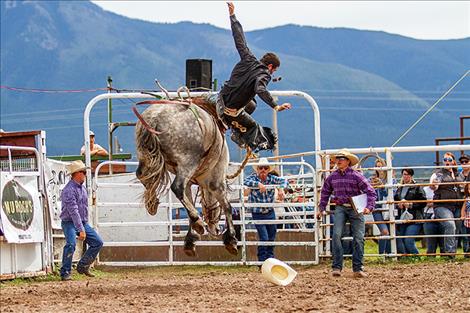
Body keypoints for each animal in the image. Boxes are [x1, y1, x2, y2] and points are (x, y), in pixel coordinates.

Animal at [133, 91, 241, 255]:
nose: (216, 229)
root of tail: (155, 118)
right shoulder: (216, 180)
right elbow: (226, 204)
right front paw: (231, 239)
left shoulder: (190, 182)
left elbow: (189, 200)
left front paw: (190, 240)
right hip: (187, 163)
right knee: (176, 187)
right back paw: (198, 221)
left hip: (146, 157)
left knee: (142, 176)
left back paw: (152, 203)